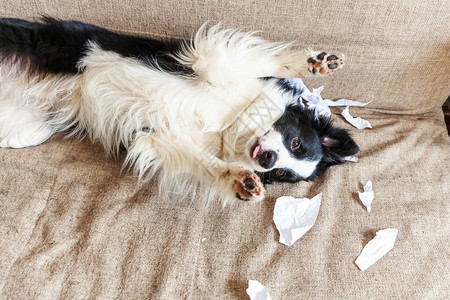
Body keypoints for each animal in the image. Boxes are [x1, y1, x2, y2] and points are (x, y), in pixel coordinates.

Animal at [0, 17, 358, 203]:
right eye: (296, 142)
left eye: (282, 174)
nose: (268, 161)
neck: (232, 120)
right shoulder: (213, 61)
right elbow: (265, 62)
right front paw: (313, 63)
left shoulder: (157, 138)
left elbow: (204, 162)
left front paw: (240, 180)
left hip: (27, 125)